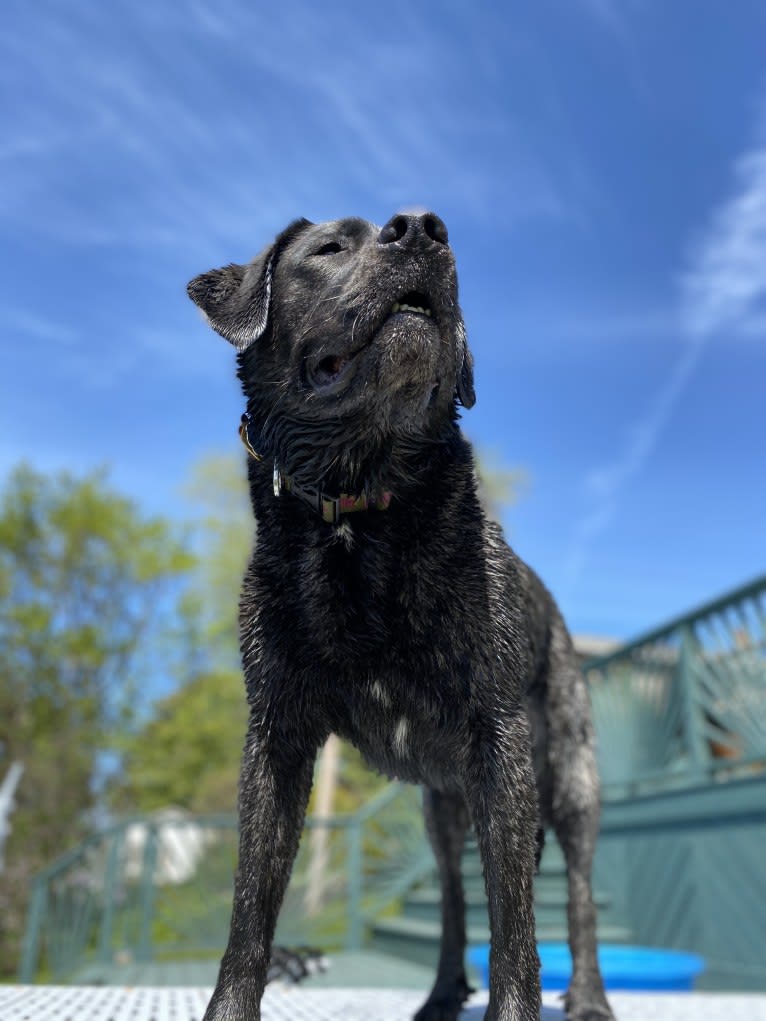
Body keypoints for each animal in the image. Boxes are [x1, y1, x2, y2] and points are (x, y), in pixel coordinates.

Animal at [188, 211, 616, 1016]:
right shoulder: (276, 743)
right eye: (328, 248)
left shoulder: (500, 746)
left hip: (570, 786)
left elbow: (517, 936)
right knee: (453, 900)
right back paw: (444, 991)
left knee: (573, 895)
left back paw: (589, 996)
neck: (361, 506)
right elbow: (247, 917)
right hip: (444, 815)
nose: (422, 228)